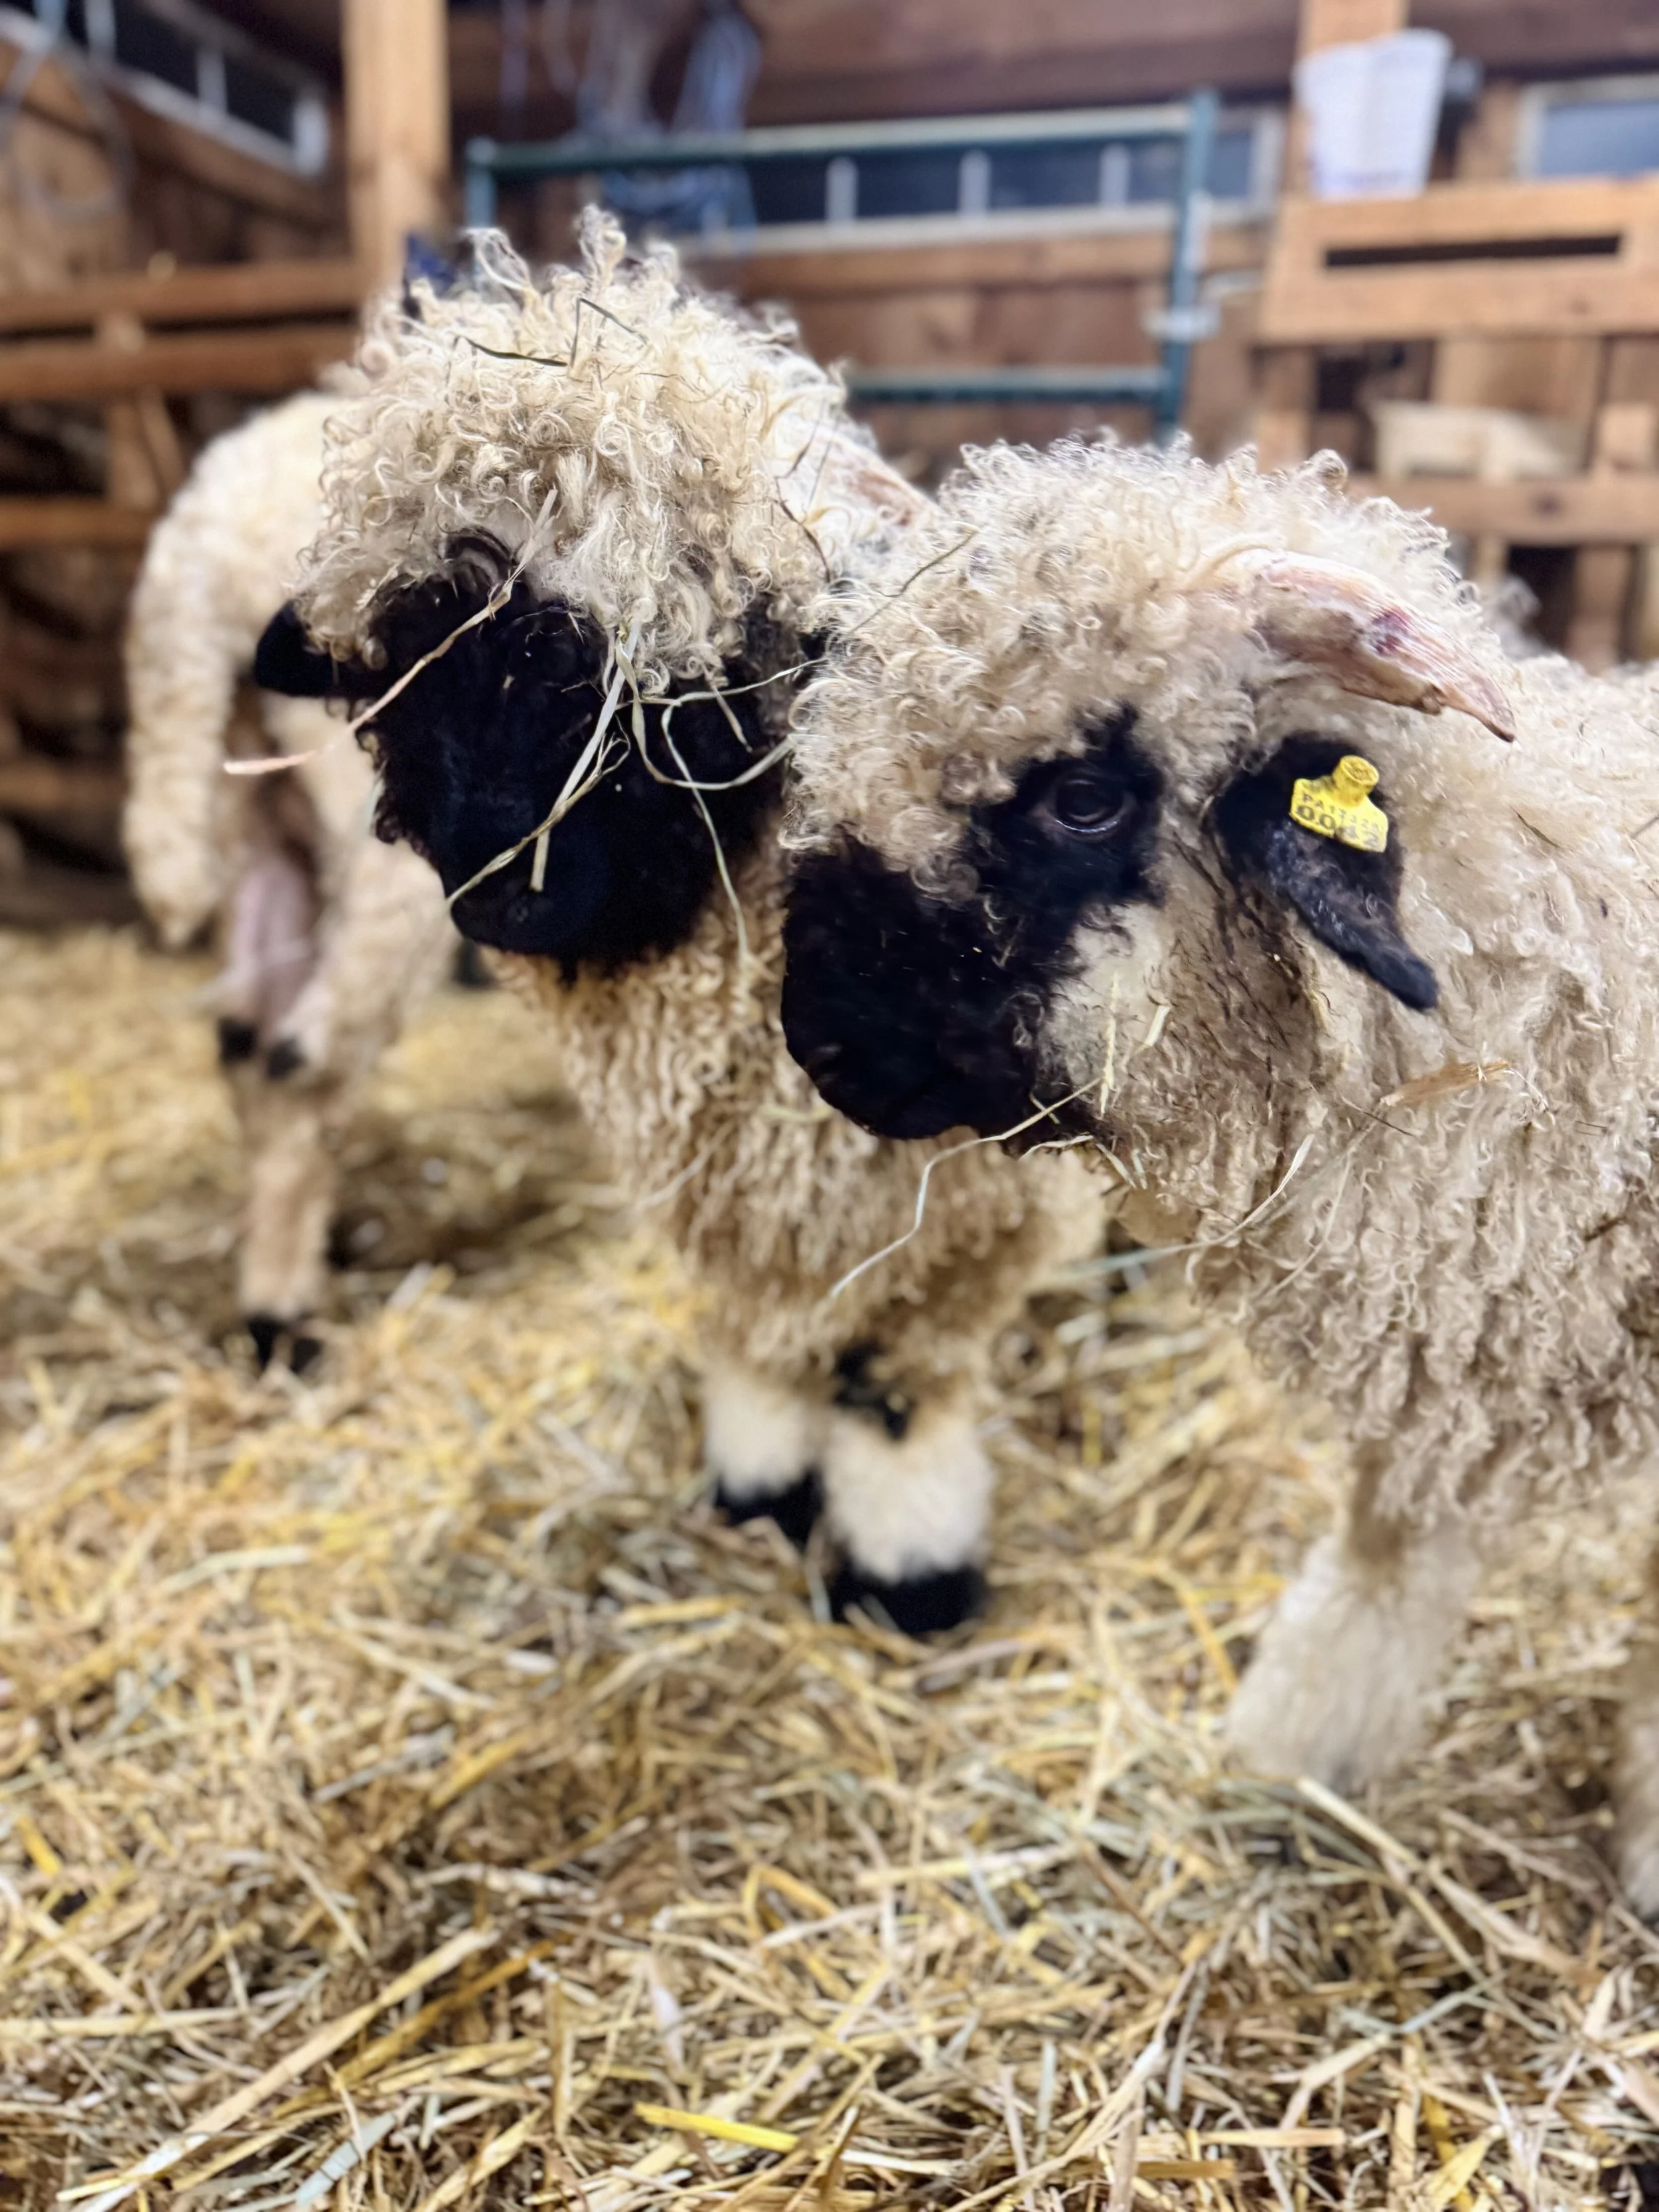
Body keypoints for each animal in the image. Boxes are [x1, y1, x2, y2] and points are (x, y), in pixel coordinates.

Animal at [256, 215, 1103, 1629]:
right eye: (405, 674)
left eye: (699, 691)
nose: (512, 890)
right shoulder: (732, 1188)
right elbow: (760, 1341)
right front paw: (757, 1491)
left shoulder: (973, 1222)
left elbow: (901, 1390)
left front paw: (908, 1568)